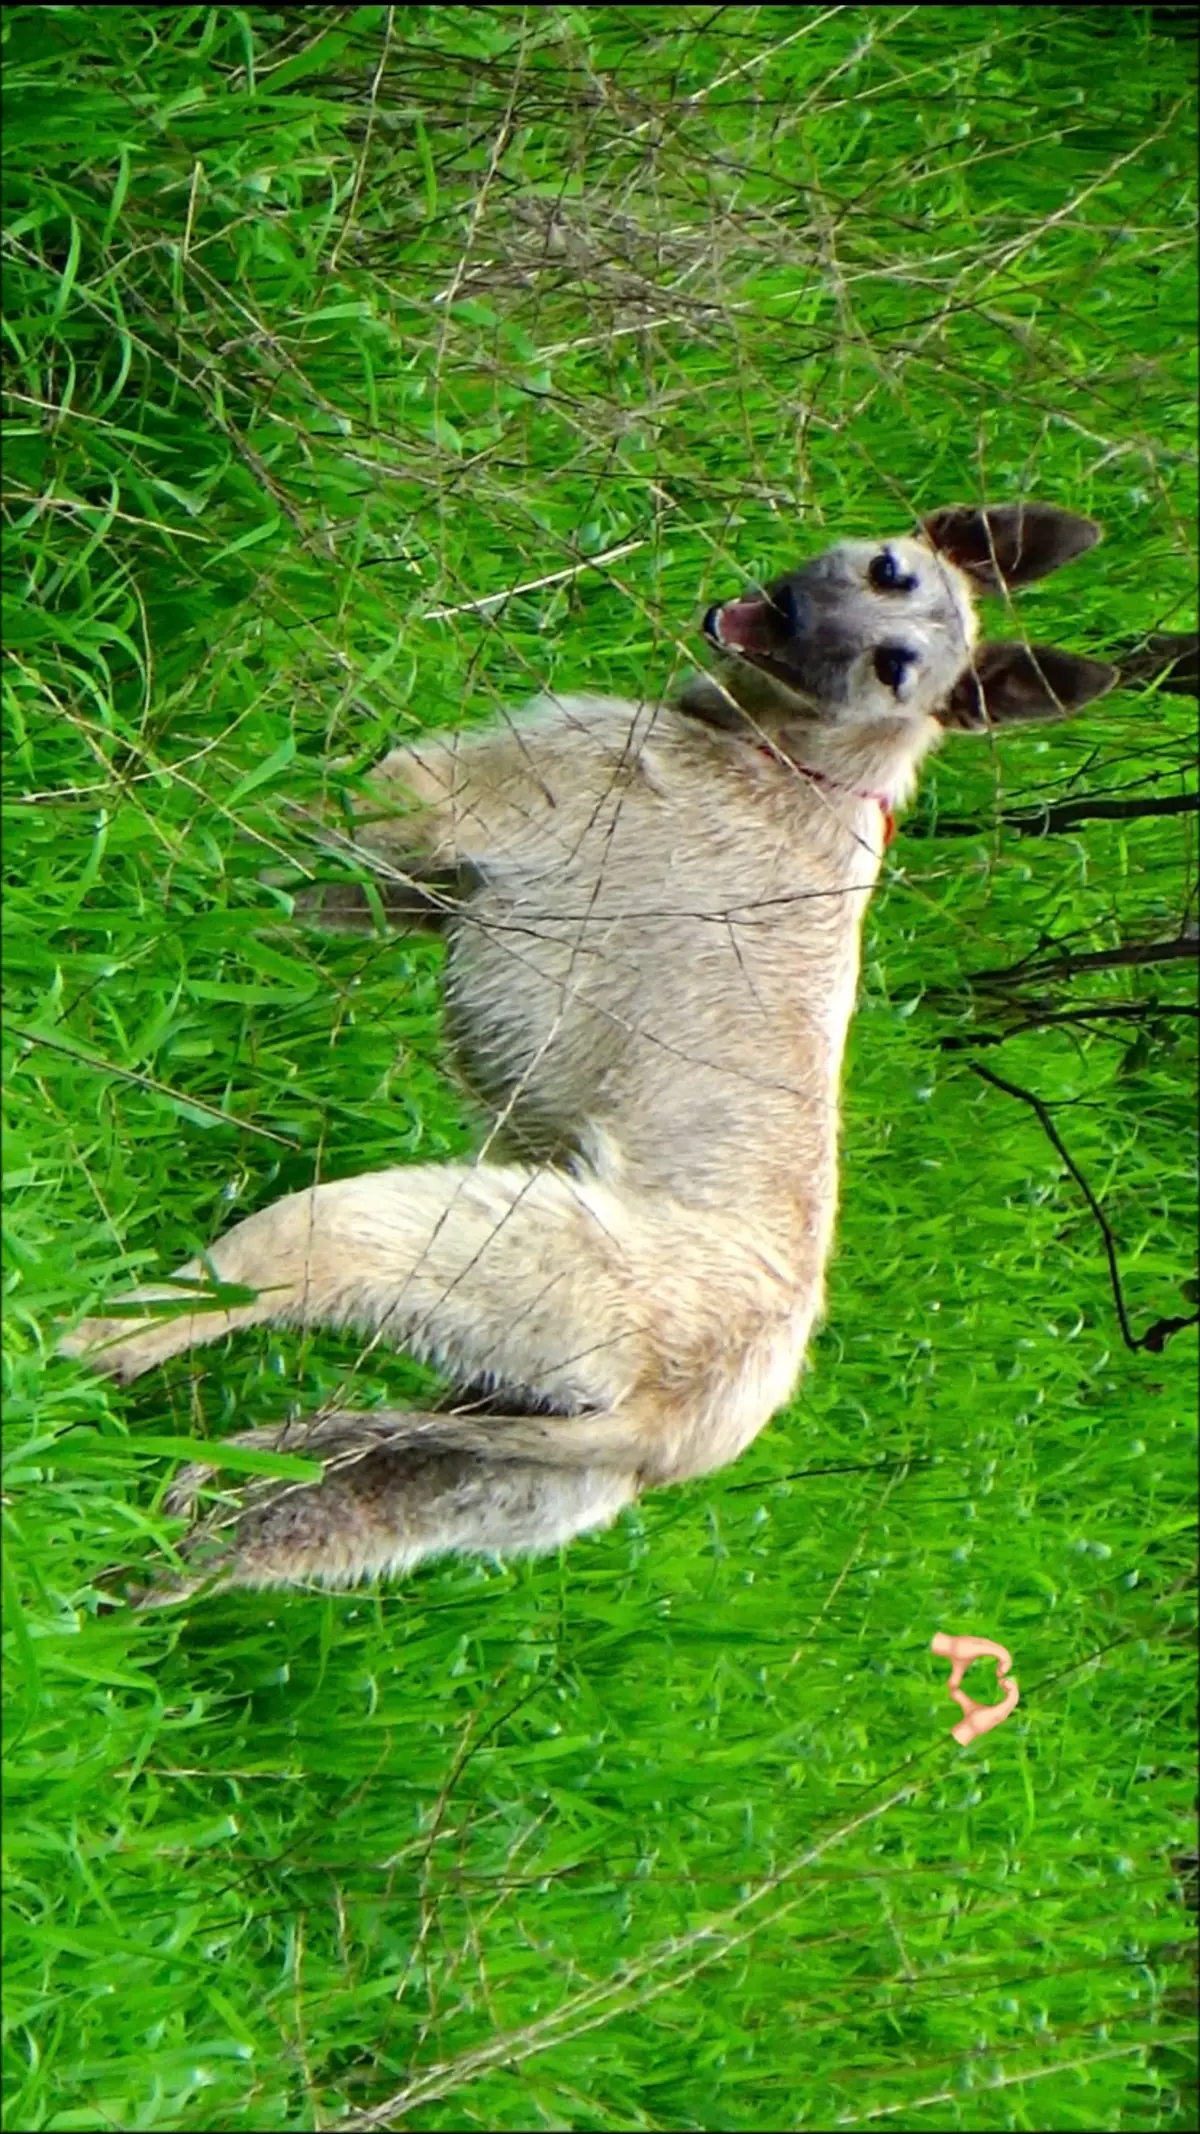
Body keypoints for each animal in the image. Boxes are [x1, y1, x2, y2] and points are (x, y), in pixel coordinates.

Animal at [62, 503, 1110, 1604]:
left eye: (895, 664)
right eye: (887, 570)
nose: (792, 613)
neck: (801, 761)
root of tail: (668, 1429)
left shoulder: (460, 797)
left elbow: (278, 808)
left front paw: (105, 809)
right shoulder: (427, 889)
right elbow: (280, 894)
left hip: (446, 1241)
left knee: (192, 1312)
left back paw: (66, 1337)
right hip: (458, 1469)